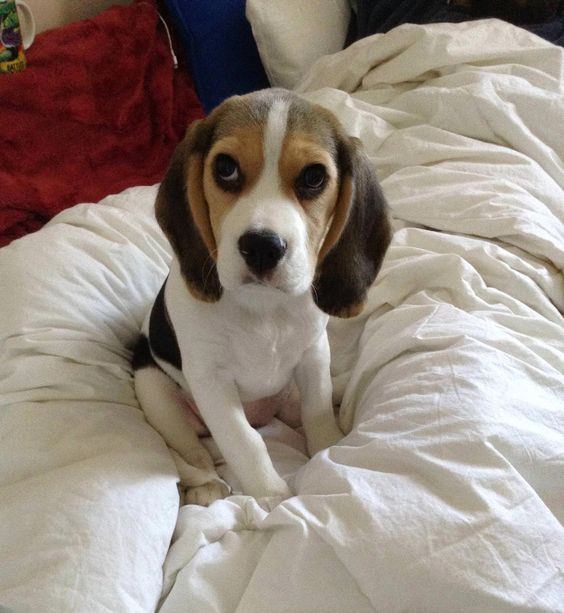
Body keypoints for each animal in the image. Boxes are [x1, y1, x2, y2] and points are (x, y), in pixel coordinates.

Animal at [134, 88, 390, 504]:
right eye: (225, 168)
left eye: (314, 177)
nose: (262, 247)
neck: (264, 307)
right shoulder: (210, 380)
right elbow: (245, 442)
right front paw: (271, 495)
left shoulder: (313, 354)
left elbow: (317, 411)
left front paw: (327, 450)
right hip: (153, 389)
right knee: (193, 451)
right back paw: (204, 484)